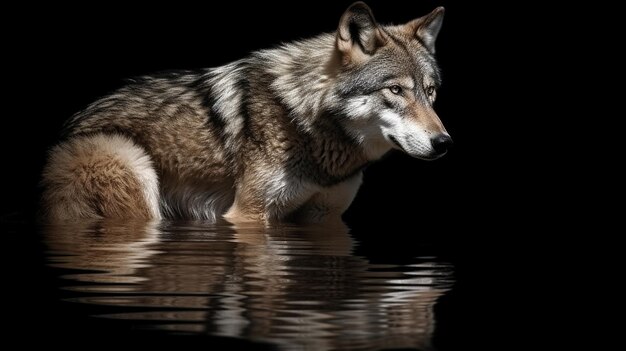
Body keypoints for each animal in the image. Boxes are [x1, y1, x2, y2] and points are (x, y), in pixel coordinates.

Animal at [40, 1, 448, 224]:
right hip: (131, 162)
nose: (443, 143)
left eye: (430, 92)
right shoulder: (249, 214)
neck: (302, 121)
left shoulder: (323, 216)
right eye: (395, 90)